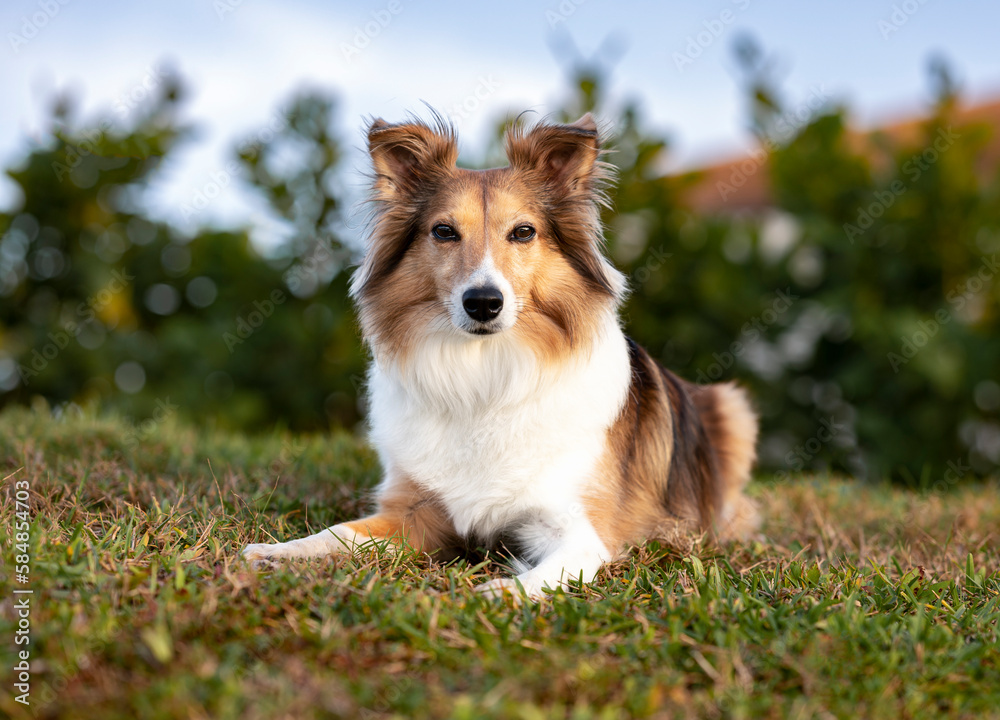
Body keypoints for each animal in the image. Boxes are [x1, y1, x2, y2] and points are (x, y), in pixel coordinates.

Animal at [242, 111, 756, 596]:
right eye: (444, 231)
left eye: (523, 232)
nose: (484, 303)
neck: (484, 374)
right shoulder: (415, 511)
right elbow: (338, 532)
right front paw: (279, 550)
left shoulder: (581, 532)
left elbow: (542, 575)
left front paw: (491, 594)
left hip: (734, 407)